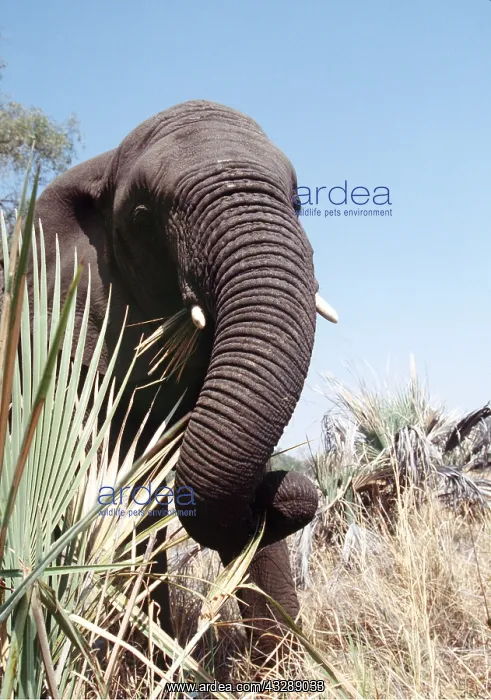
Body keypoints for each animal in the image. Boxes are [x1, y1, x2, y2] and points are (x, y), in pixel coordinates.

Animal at [25, 100, 338, 661]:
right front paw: (144, 662)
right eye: (143, 218)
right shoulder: (70, 341)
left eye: (298, 202)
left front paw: (282, 666)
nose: (294, 487)